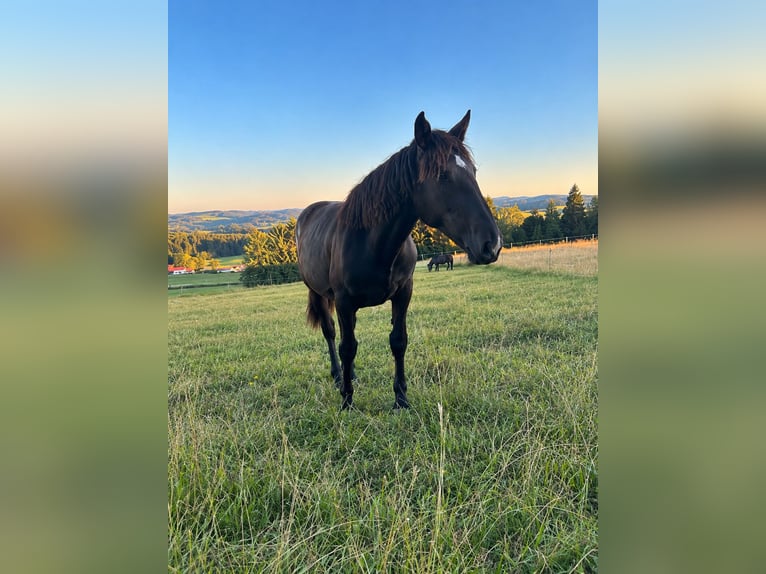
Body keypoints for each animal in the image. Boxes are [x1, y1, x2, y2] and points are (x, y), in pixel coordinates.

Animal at [295, 110, 501, 409]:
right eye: (442, 175)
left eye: (473, 172)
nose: (492, 244)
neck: (374, 245)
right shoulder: (344, 301)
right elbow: (348, 347)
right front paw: (347, 401)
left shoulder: (404, 292)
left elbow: (398, 341)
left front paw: (401, 398)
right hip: (319, 293)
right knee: (331, 333)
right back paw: (338, 376)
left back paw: (350, 375)